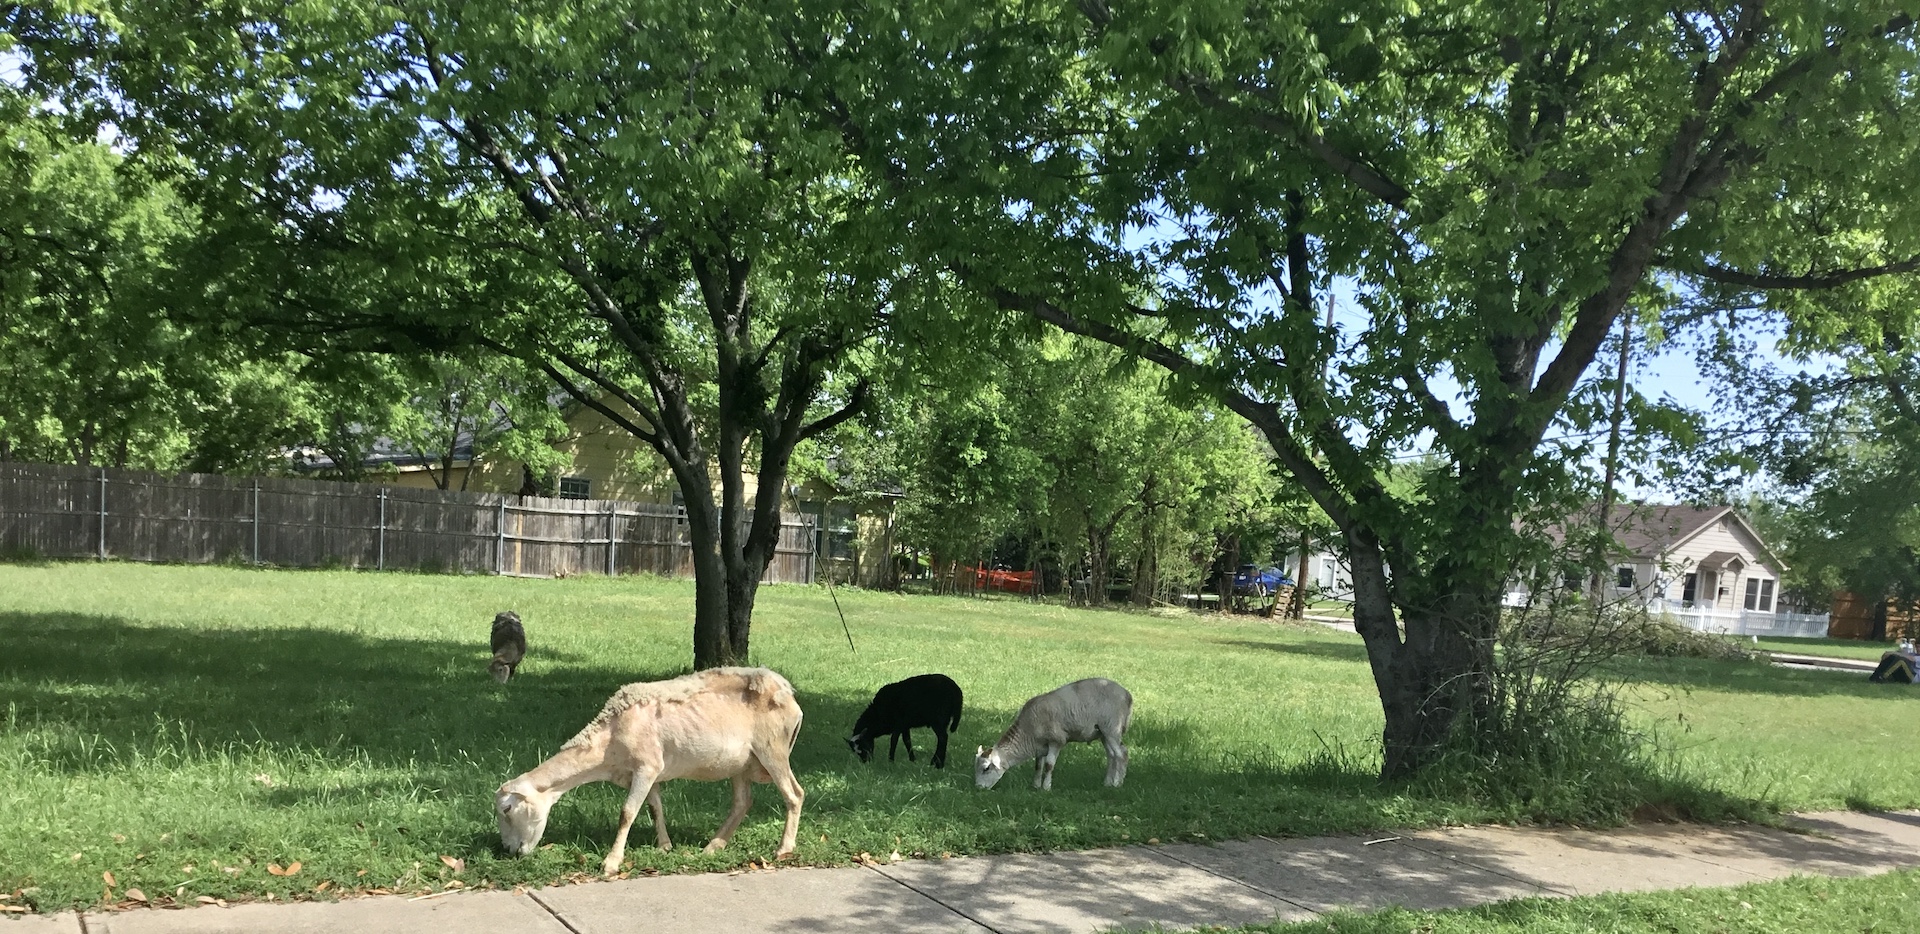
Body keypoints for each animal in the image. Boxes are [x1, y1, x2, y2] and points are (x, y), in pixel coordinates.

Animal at [495, 667, 806, 874]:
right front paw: (665, 846)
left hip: (773, 750)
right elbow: (654, 807)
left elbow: (627, 813)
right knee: (743, 802)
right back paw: (712, 847)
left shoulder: (646, 766)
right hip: (742, 762)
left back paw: (783, 849)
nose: (509, 851)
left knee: (794, 794)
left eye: (507, 809)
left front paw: (611, 862)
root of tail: (787, 691)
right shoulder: (648, 771)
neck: (607, 744)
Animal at [975, 677, 1132, 790]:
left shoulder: (1057, 740)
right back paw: (1107, 783)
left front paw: (1046, 787)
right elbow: (1038, 766)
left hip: (1112, 727)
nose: (978, 788)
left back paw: (1117, 783)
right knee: (1112, 755)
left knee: (1121, 754)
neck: (1027, 732)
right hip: (1103, 733)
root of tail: (1127, 695)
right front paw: (1035, 786)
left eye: (986, 768)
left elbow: (1049, 765)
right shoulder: (1039, 745)